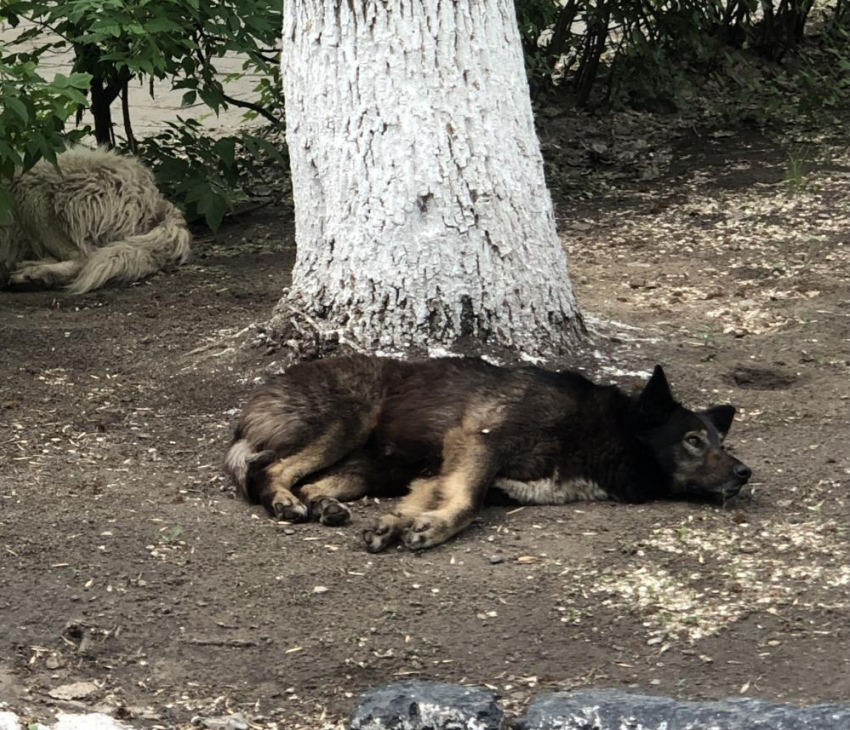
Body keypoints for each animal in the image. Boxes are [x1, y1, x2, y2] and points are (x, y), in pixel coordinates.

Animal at [225, 354, 748, 552]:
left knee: (315, 481)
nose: (746, 473)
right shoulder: (479, 443)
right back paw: (283, 501)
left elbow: (430, 501)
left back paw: (325, 505)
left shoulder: (439, 472)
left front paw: (396, 525)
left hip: (375, 467)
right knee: (270, 470)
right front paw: (432, 530)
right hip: (347, 422)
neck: (602, 431)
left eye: (720, 442)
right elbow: (468, 503)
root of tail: (260, 395)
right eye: (693, 440)